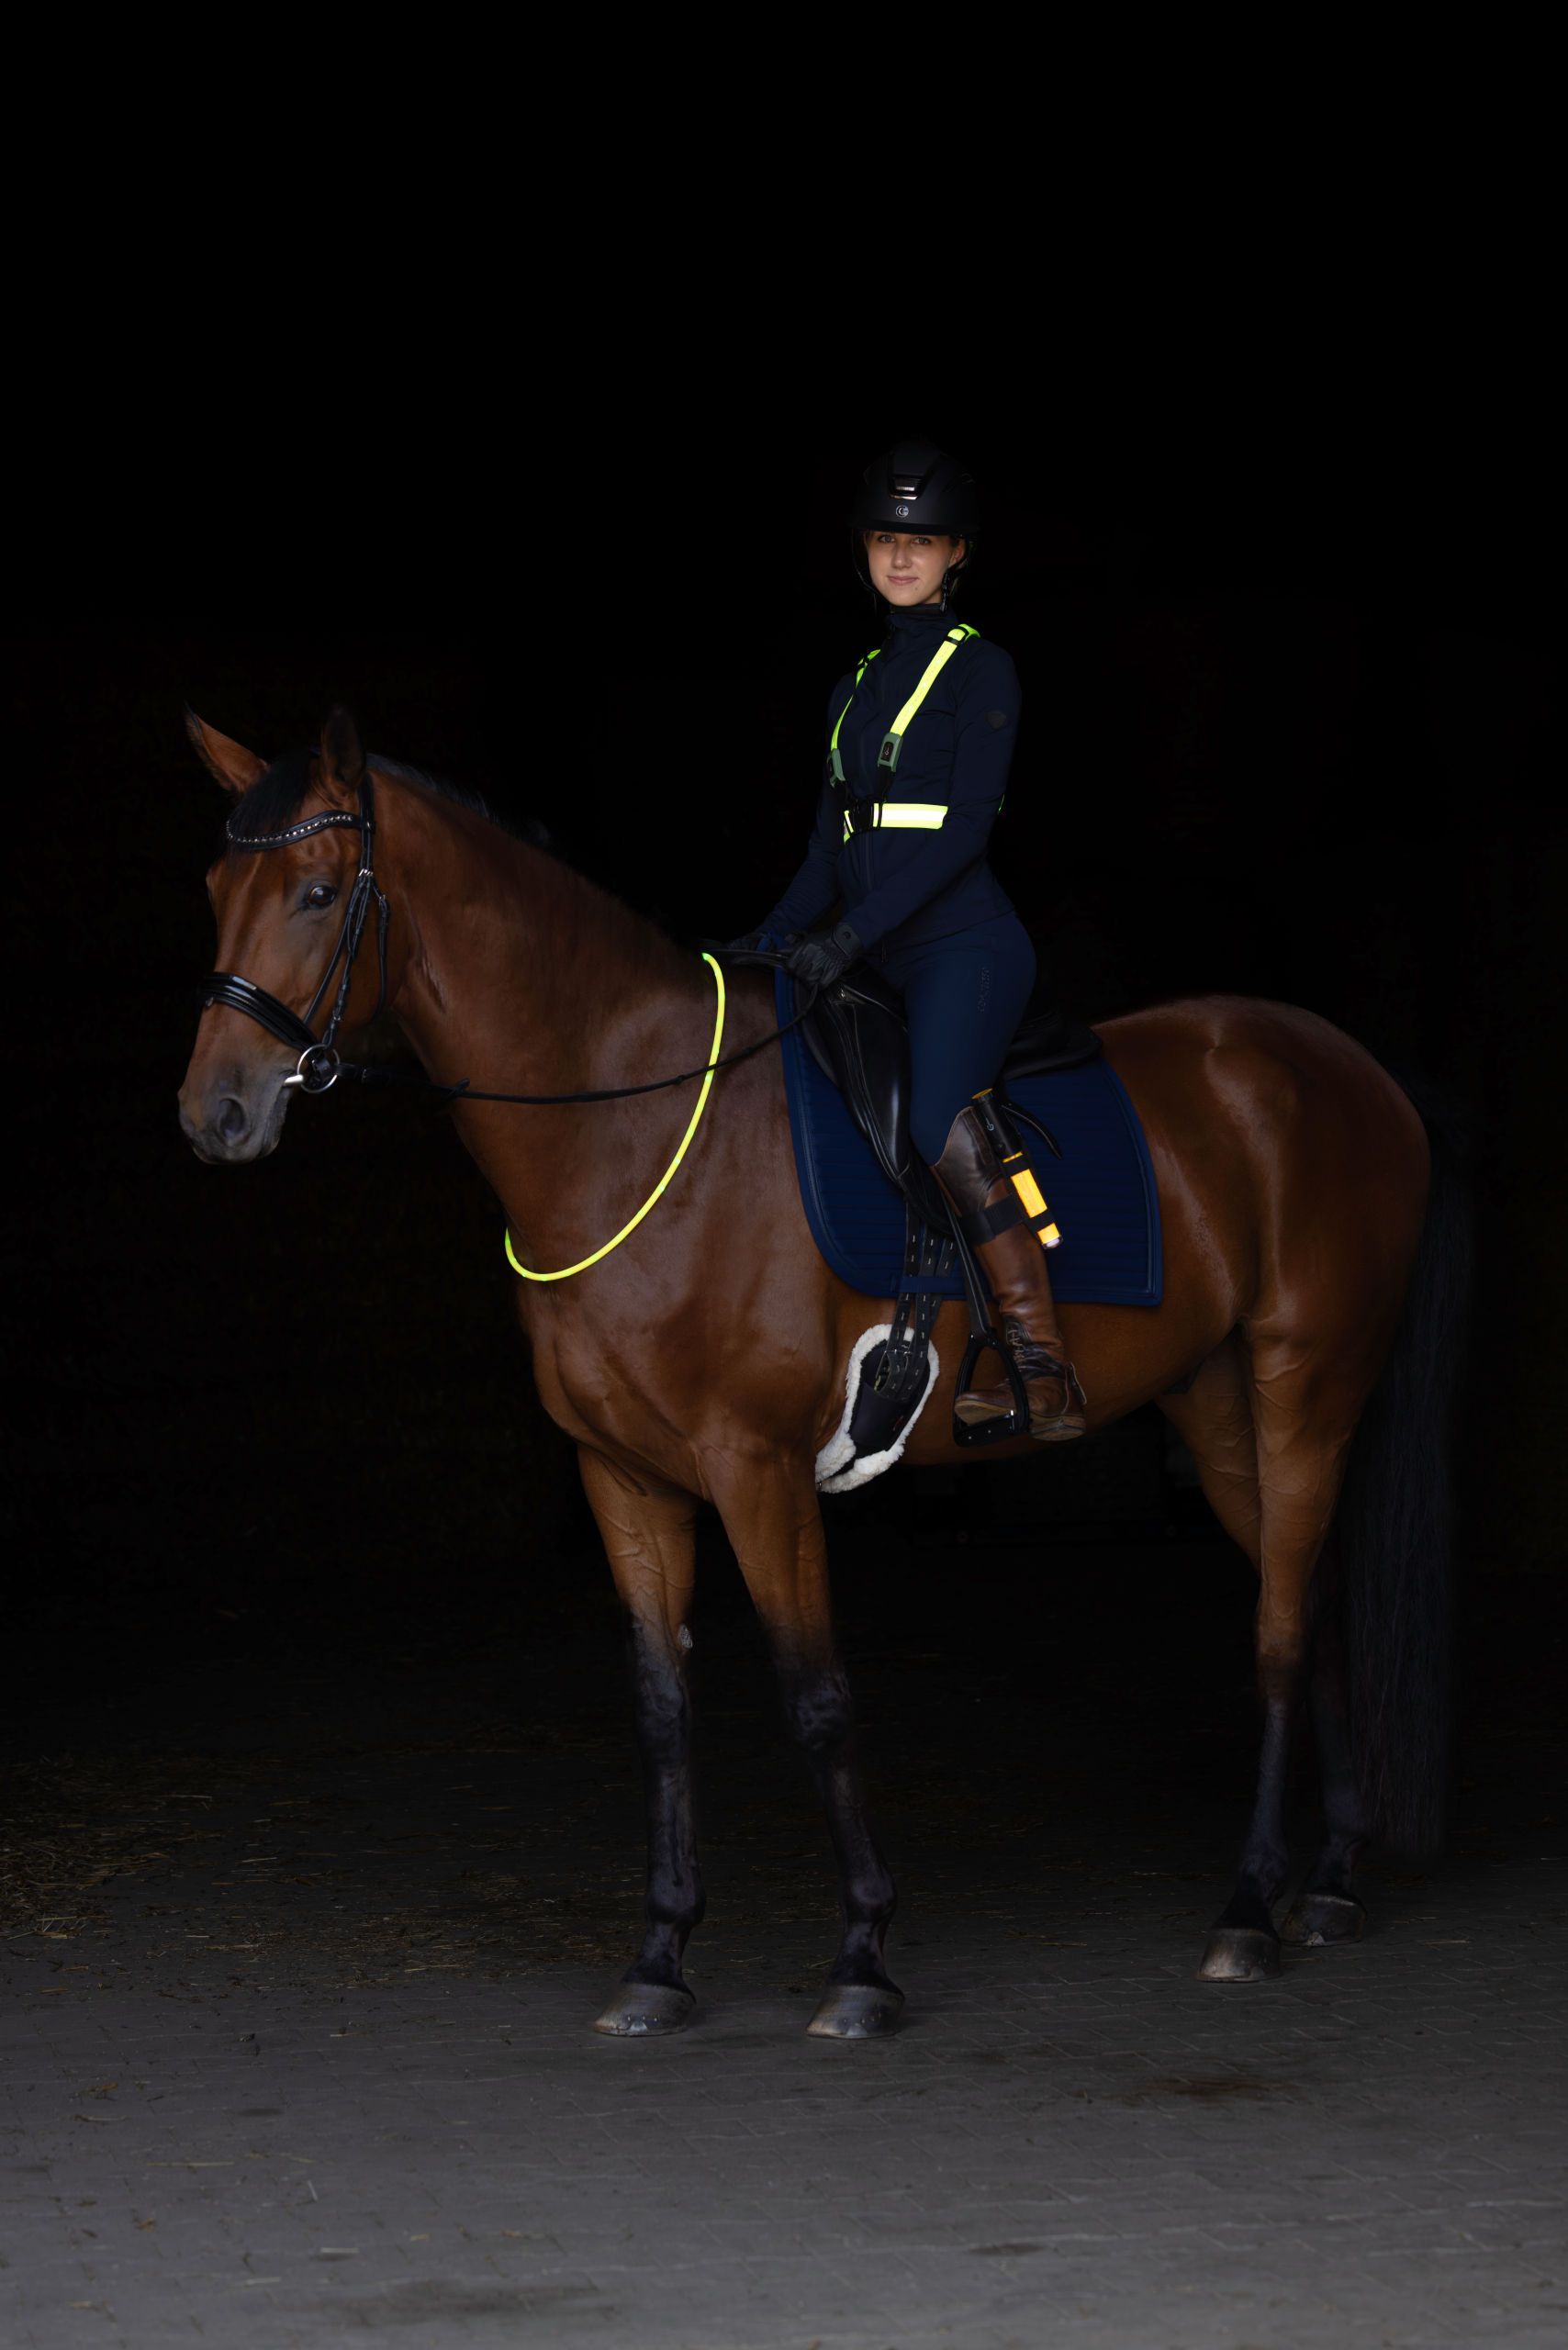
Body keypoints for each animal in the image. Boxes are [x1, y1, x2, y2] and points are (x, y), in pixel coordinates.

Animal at [177, 707, 1463, 2041]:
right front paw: (660, 1956)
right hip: (1214, 1407)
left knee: (1277, 1627)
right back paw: (1328, 1880)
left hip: (1305, 1386)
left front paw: (860, 1956)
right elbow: (660, 1708)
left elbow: (816, 1695)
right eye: (219, 889)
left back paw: (1250, 1909)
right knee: (1305, 1599)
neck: (627, 1130)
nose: (214, 1113)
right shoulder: (622, 1476)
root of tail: (1353, 1068)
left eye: (320, 891)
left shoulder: (758, 1468)